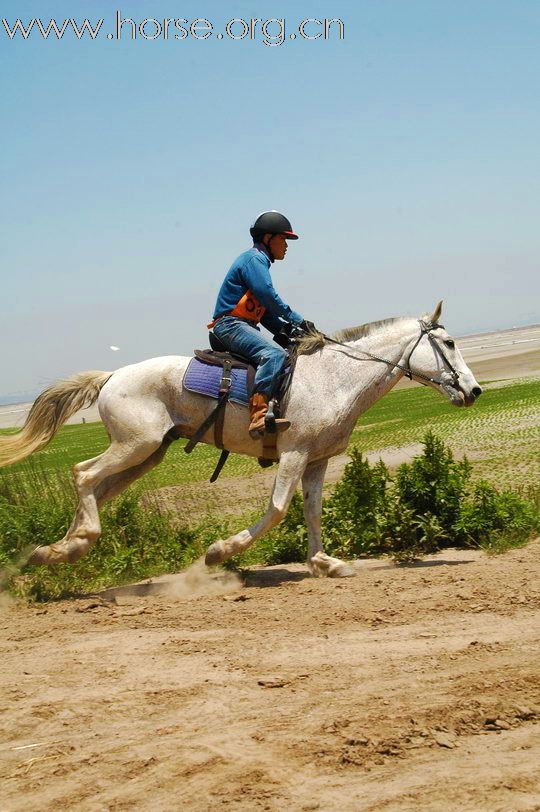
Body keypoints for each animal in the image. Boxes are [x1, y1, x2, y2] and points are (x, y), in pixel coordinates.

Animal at [0, 302, 480, 576]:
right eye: (449, 343)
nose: (474, 390)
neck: (336, 379)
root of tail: (112, 376)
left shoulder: (317, 460)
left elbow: (312, 510)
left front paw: (323, 562)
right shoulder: (294, 454)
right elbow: (278, 509)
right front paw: (220, 552)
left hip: (145, 455)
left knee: (97, 489)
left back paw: (58, 551)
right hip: (134, 446)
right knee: (83, 474)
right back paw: (73, 544)